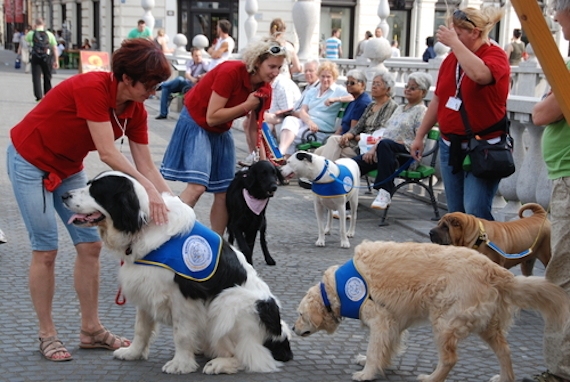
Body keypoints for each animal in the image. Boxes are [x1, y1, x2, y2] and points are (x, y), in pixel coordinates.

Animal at [63, 172, 290, 374]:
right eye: (88, 184)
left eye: (96, 190)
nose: (64, 195)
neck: (144, 224)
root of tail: (281, 338)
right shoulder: (144, 286)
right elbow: (141, 328)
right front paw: (133, 352)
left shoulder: (183, 296)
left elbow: (181, 334)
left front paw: (180, 364)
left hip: (229, 302)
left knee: (253, 356)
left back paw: (220, 364)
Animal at [292, 240, 568, 380]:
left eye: (300, 315)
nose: (293, 329)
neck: (338, 288)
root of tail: (493, 269)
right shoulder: (394, 322)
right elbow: (387, 348)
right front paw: (381, 365)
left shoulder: (381, 319)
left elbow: (375, 350)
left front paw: (366, 373)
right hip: (486, 326)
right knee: (505, 352)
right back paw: (503, 378)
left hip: (445, 322)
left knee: (450, 359)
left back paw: (430, 378)